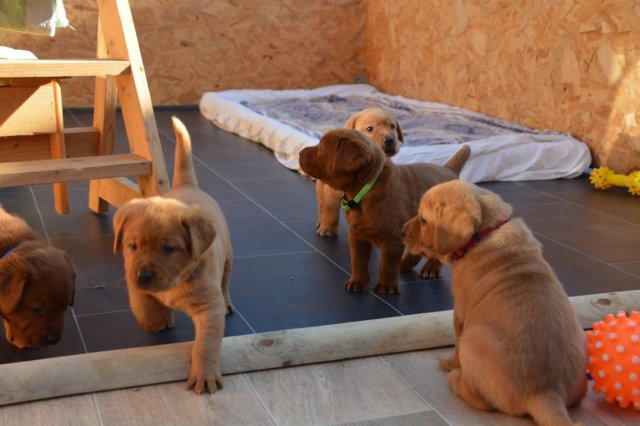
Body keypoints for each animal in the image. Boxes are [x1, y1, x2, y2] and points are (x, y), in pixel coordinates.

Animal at [113, 117, 233, 394]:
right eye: (132, 246)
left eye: (169, 248)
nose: (144, 276)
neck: (180, 279)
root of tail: (187, 185)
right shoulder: (131, 276)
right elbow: (142, 303)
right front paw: (156, 319)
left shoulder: (209, 309)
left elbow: (205, 345)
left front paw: (204, 374)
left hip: (229, 258)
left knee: (225, 284)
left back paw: (228, 303)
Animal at [299, 128, 470, 294]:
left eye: (322, 148)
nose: (300, 152)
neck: (367, 189)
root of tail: (449, 169)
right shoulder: (357, 236)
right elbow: (358, 261)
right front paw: (357, 282)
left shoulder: (392, 241)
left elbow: (386, 266)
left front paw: (387, 287)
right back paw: (404, 265)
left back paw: (431, 269)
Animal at [315, 107, 403, 237]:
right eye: (370, 129)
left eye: (392, 126)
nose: (389, 140)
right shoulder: (332, 192)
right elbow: (330, 211)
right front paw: (327, 229)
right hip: (320, 186)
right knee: (321, 205)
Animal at [402, 180, 587, 426]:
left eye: (423, 220)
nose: (402, 231)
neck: (485, 233)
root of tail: (547, 392)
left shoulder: (460, 314)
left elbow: (456, 346)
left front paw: (449, 362)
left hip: (472, 339)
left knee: (481, 401)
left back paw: (456, 378)